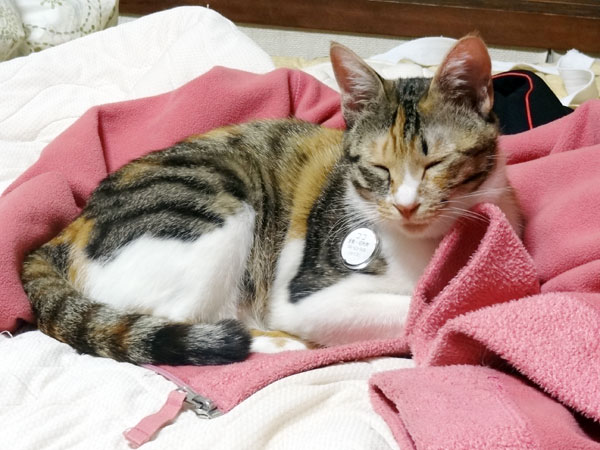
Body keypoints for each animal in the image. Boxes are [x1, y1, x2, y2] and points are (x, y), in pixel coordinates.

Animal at [21, 35, 520, 366]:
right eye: (379, 169)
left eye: (435, 163)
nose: (406, 205)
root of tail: (65, 231)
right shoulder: (308, 295)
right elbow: (423, 308)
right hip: (217, 208)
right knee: (181, 324)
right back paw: (276, 344)